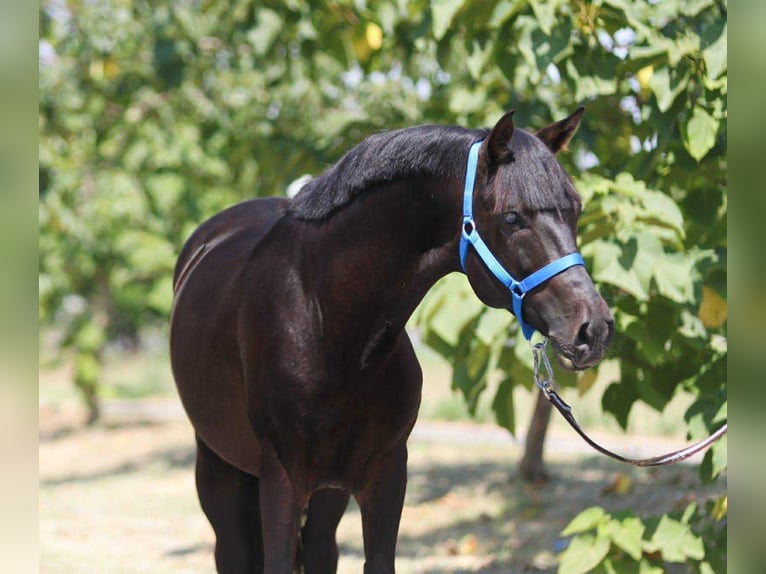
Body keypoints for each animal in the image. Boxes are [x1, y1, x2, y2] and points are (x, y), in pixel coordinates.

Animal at [169, 109, 614, 573]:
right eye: (512, 218)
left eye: (576, 210)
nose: (593, 328)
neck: (327, 322)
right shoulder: (282, 481)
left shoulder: (386, 475)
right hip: (220, 470)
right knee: (233, 551)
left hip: (327, 493)